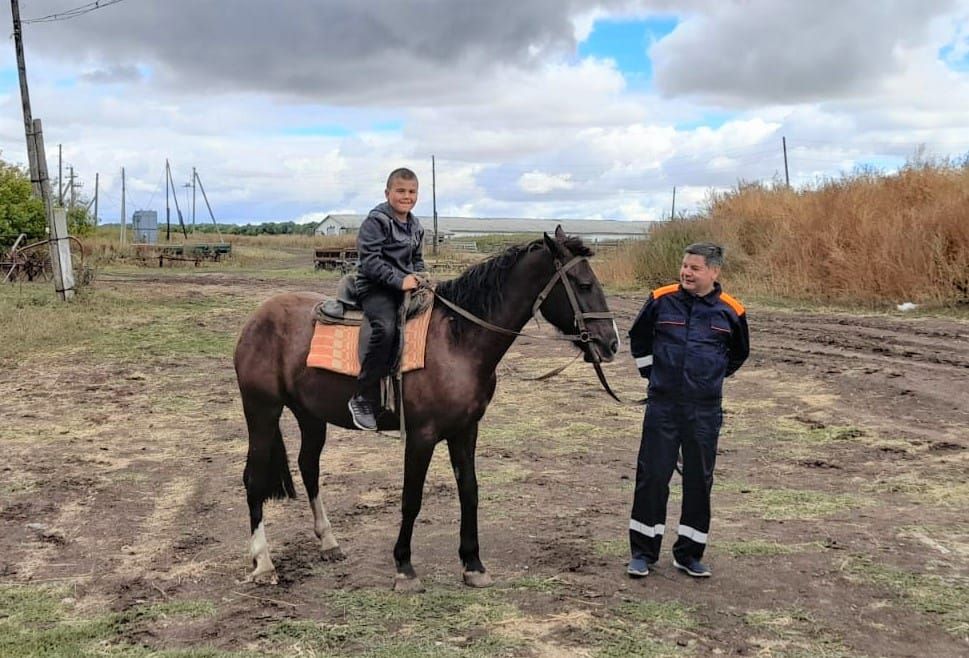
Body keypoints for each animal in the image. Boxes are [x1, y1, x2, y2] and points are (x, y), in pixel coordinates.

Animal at [231, 226, 616, 588]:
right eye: (583, 284)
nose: (610, 343)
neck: (458, 343)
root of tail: (256, 319)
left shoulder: (465, 430)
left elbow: (470, 492)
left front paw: (473, 564)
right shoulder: (422, 436)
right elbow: (411, 498)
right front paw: (404, 567)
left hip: (310, 415)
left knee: (308, 467)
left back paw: (328, 542)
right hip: (261, 410)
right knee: (253, 478)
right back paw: (263, 562)